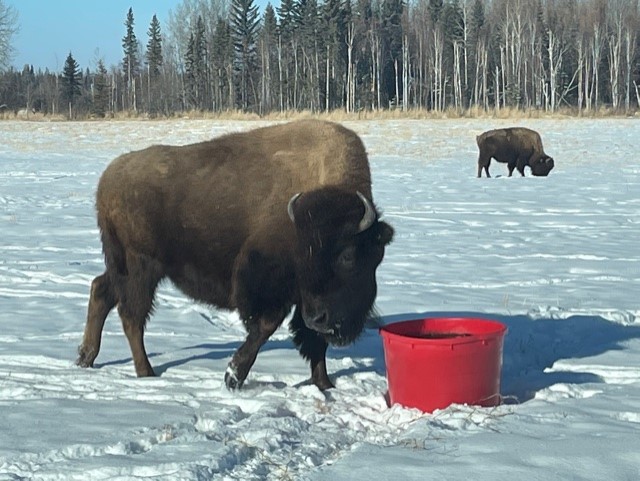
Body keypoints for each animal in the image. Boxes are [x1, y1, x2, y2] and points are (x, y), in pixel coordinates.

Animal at [77, 120, 394, 391]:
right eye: (303, 255)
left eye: (348, 256)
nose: (319, 318)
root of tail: (108, 178)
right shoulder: (265, 286)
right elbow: (265, 327)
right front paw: (233, 376)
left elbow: (313, 341)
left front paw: (325, 386)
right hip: (141, 267)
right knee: (131, 315)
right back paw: (146, 373)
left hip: (122, 265)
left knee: (101, 290)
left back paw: (86, 358)